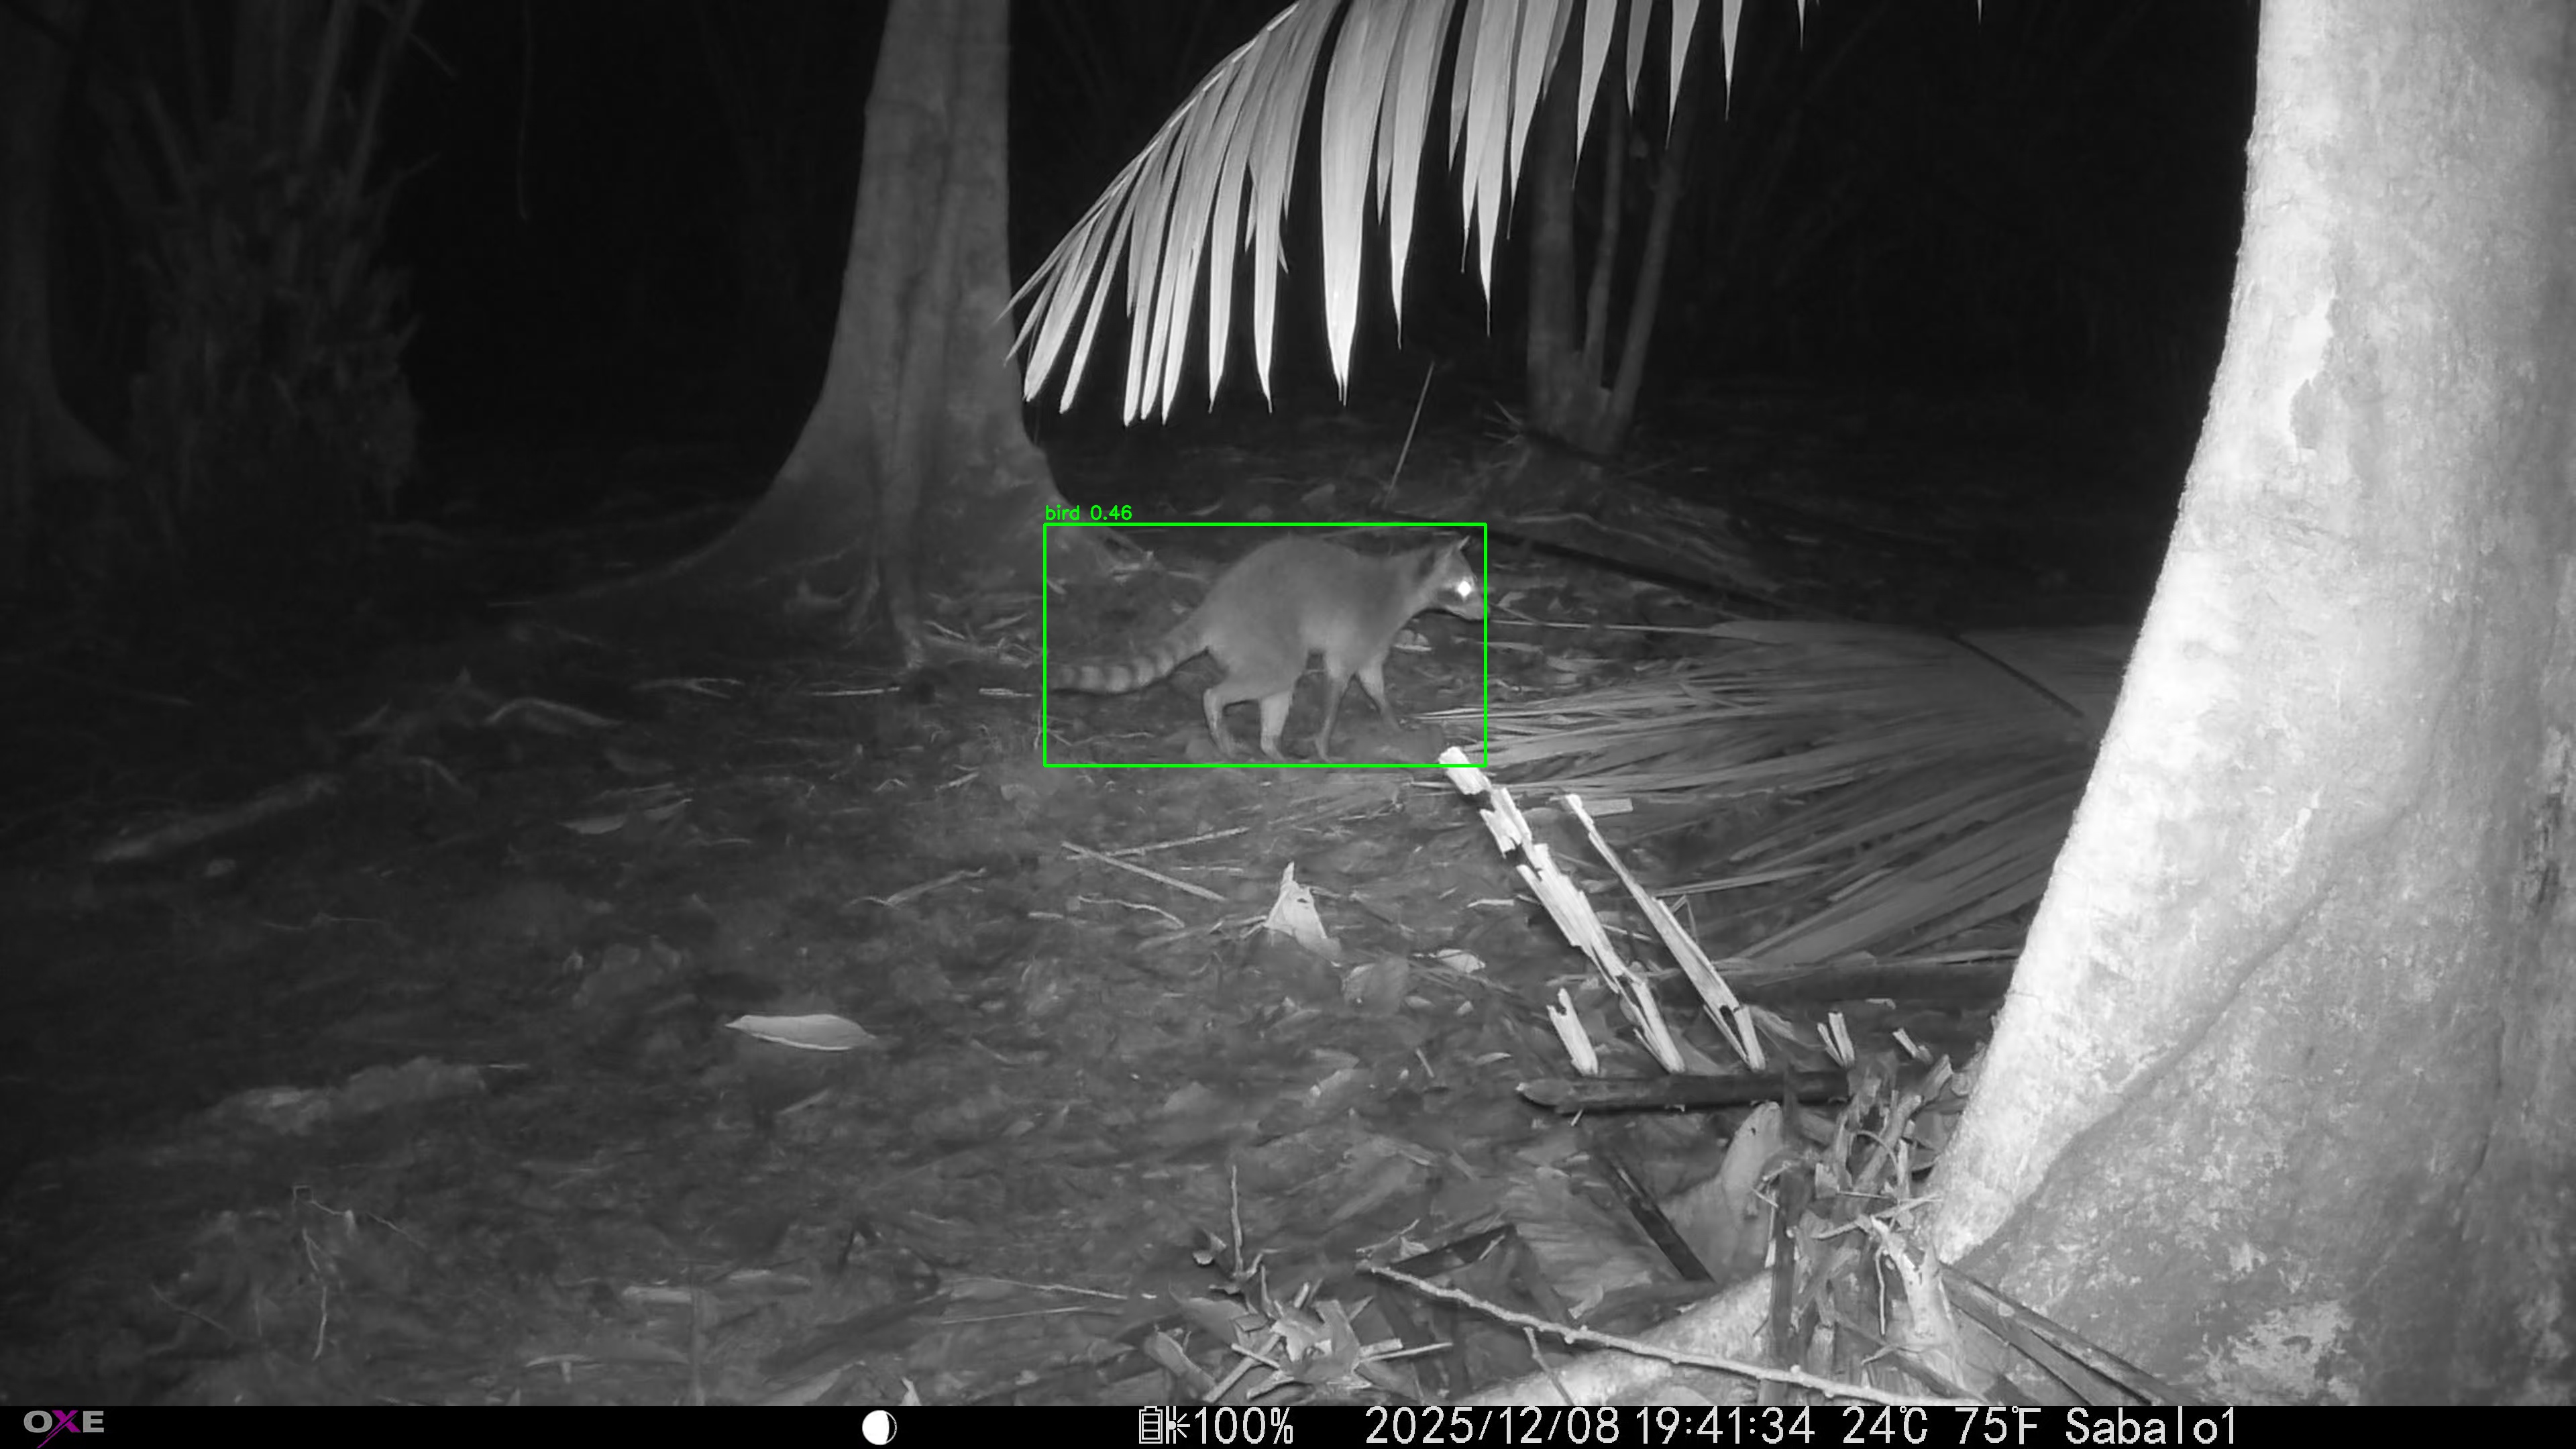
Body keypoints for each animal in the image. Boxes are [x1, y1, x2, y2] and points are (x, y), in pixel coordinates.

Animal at [1051, 535, 1484, 761]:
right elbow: (1337, 678)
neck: (1405, 586)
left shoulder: (1376, 641)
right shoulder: (1363, 628)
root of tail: (1214, 605)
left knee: (1277, 692)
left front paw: (1390, 718)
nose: (1486, 613)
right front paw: (1324, 740)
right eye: (1465, 588)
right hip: (1263, 631)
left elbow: (1373, 680)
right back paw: (1222, 714)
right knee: (1269, 677)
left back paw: (1272, 747)